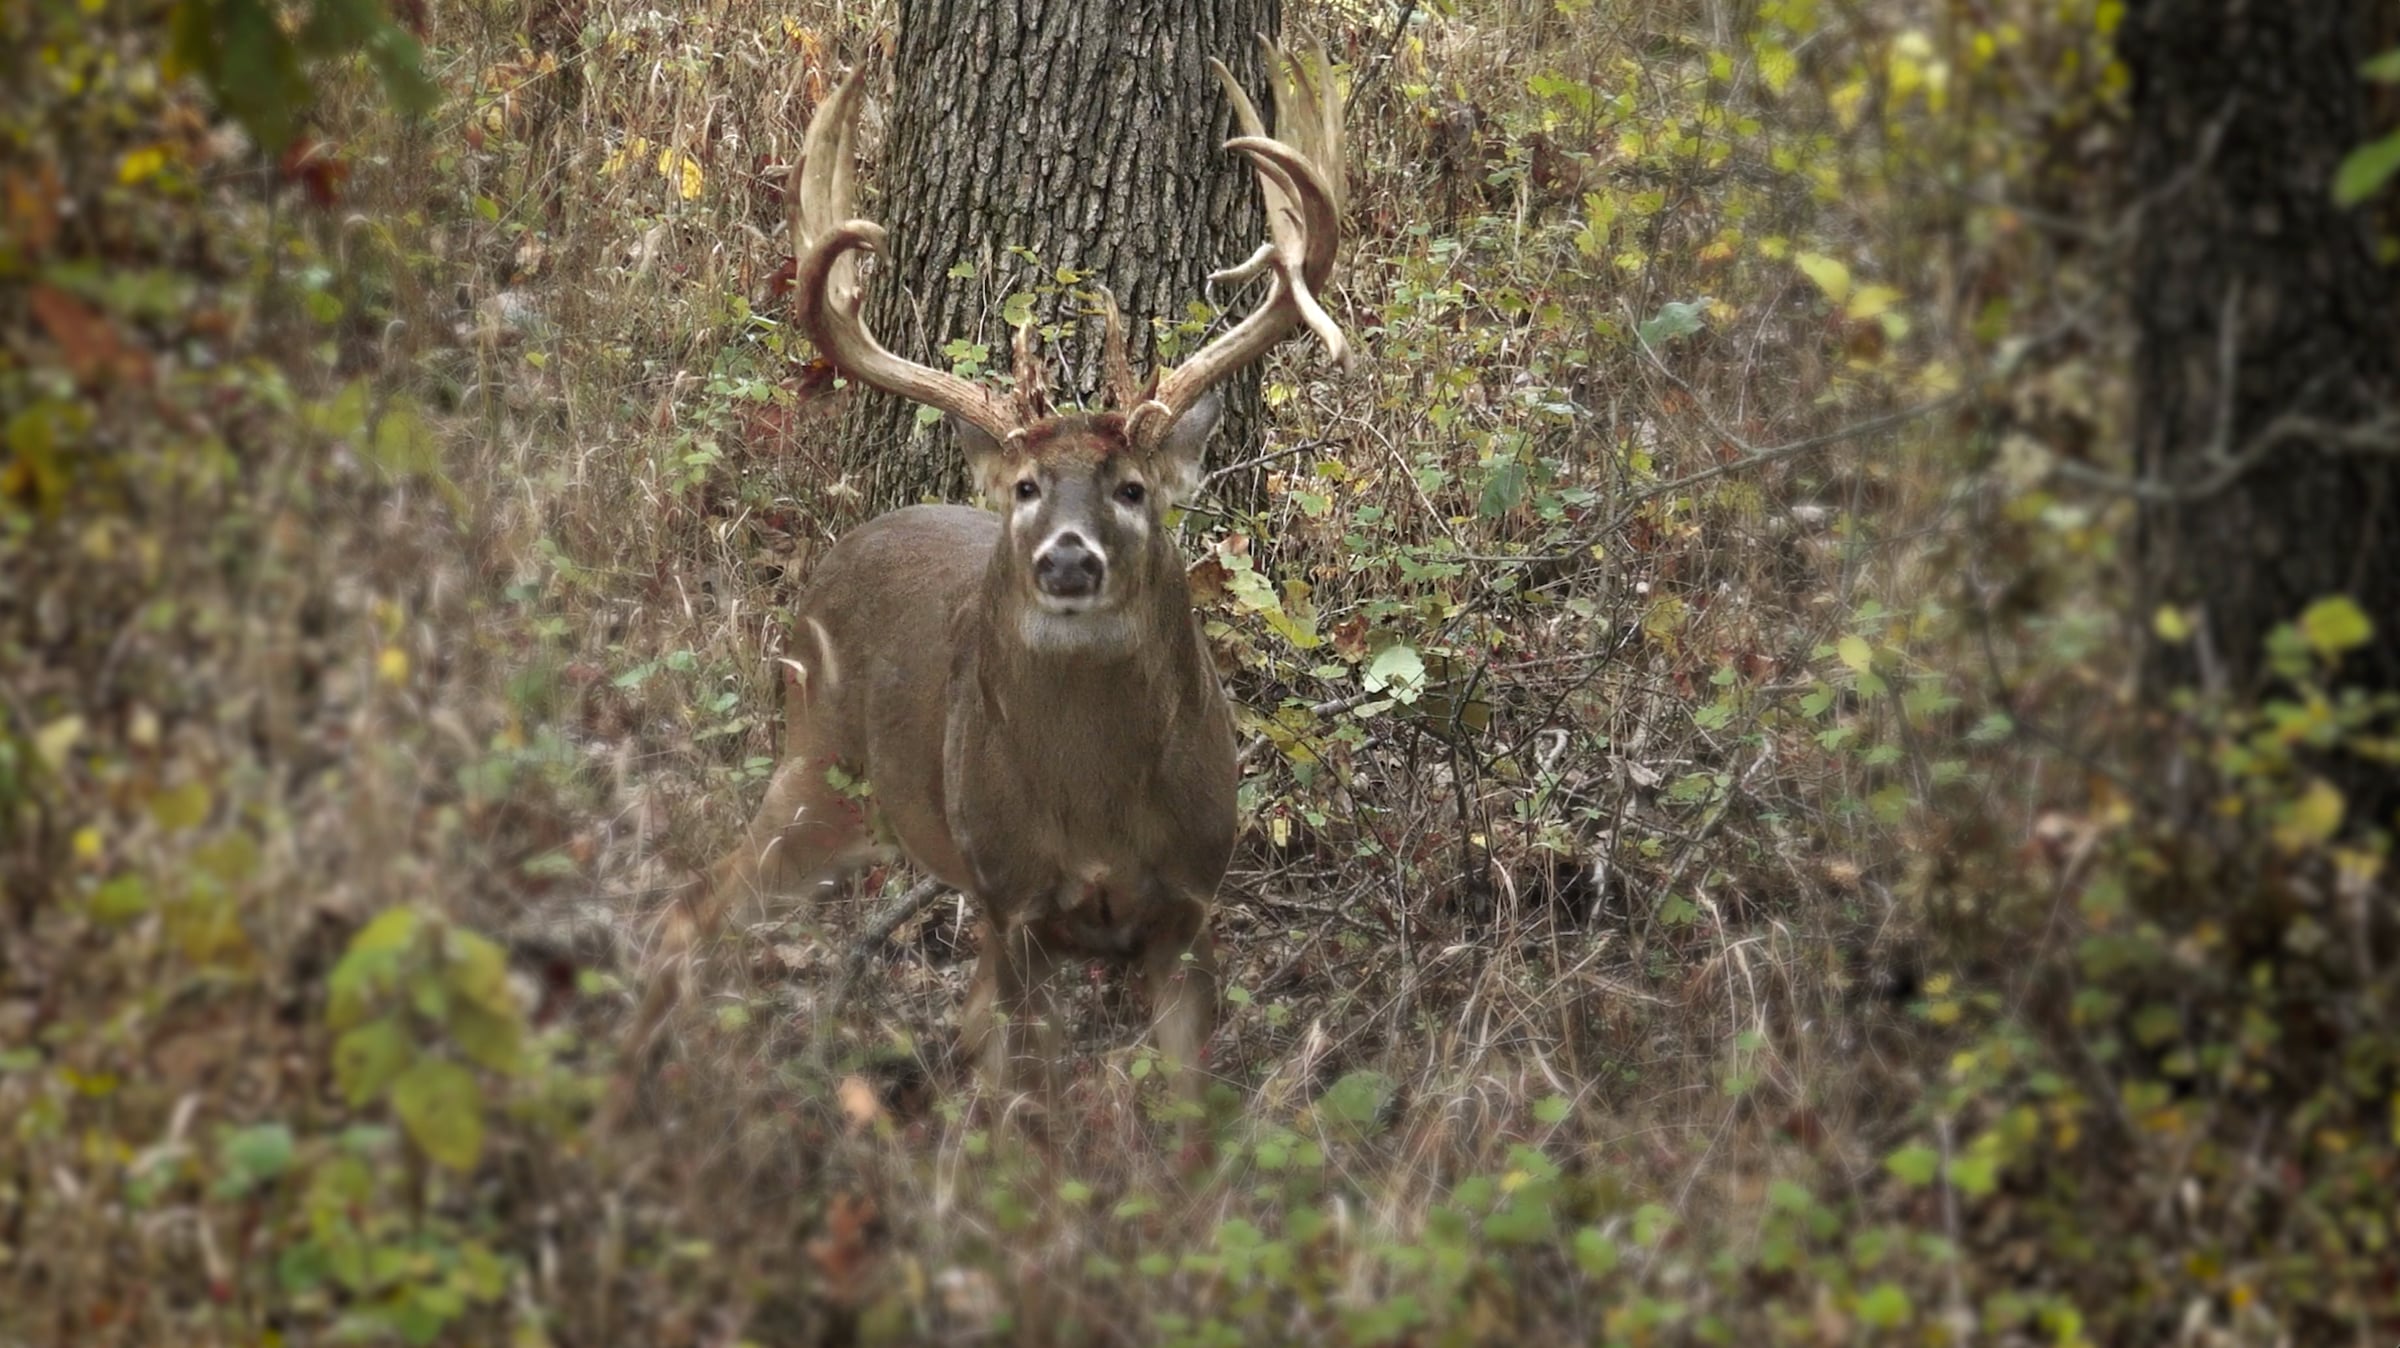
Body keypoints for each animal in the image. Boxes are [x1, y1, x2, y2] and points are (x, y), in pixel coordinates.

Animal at [621, 44, 1346, 1119]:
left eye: (1134, 488)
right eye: (1027, 487)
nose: (1069, 556)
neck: (1095, 816)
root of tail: (838, 551)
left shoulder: (1191, 900)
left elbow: (1186, 1114)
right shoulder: (1015, 904)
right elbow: (1031, 1108)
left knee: (956, 1021)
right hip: (817, 770)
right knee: (686, 914)